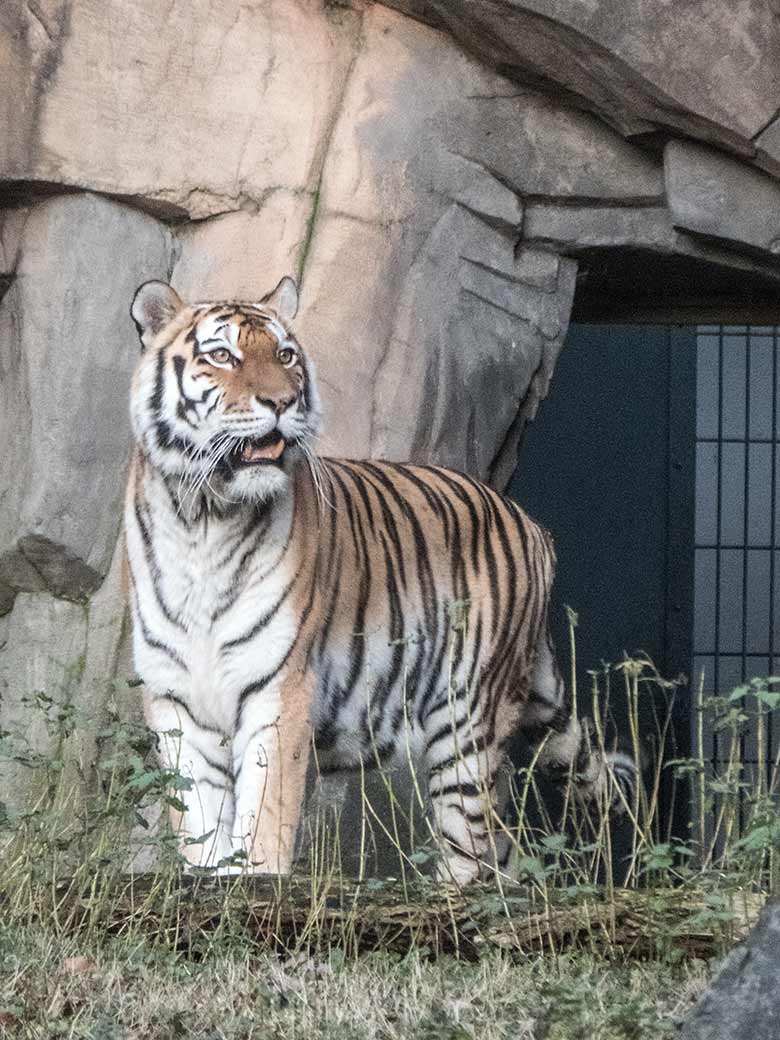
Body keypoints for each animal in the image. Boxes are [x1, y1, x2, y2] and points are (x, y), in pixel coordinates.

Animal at [125, 276, 636, 886]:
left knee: (473, 854)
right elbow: (200, 822)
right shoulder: (175, 699)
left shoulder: (278, 688)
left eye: (286, 355)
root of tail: (531, 524)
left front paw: (257, 882)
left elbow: (264, 816)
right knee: (504, 850)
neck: (203, 517)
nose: (281, 402)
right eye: (222, 356)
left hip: (465, 723)